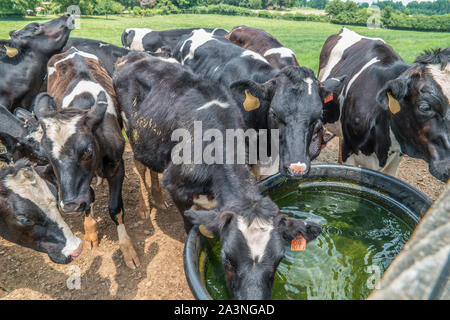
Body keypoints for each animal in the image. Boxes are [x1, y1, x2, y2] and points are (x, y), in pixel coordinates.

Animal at [30, 47, 139, 268]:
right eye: (47, 155)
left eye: (87, 151)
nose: (70, 205)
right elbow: (89, 198)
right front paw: (90, 233)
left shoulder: (117, 165)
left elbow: (115, 208)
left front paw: (127, 248)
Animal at [114, 51, 322, 298]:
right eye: (228, 259)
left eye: (279, 260)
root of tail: (134, 55)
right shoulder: (176, 186)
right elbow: (192, 232)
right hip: (132, 134)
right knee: (141, 166)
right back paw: (147, 205)